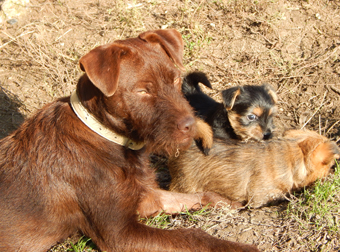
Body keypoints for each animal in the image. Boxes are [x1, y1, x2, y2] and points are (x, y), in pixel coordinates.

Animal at [0, 30, 258, 252]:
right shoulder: (119, 233)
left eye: (175, 80)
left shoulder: (145, 197)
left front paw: (226, 201)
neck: (105, 135)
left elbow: (195, 197)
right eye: (143, 91)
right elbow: (191, 236)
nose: (191, 124)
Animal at [170, 129, 340, 208]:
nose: (333, 171)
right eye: (329, 165)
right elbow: (279, 196)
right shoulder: (260, 197)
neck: (290, 160)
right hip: (185, 185)